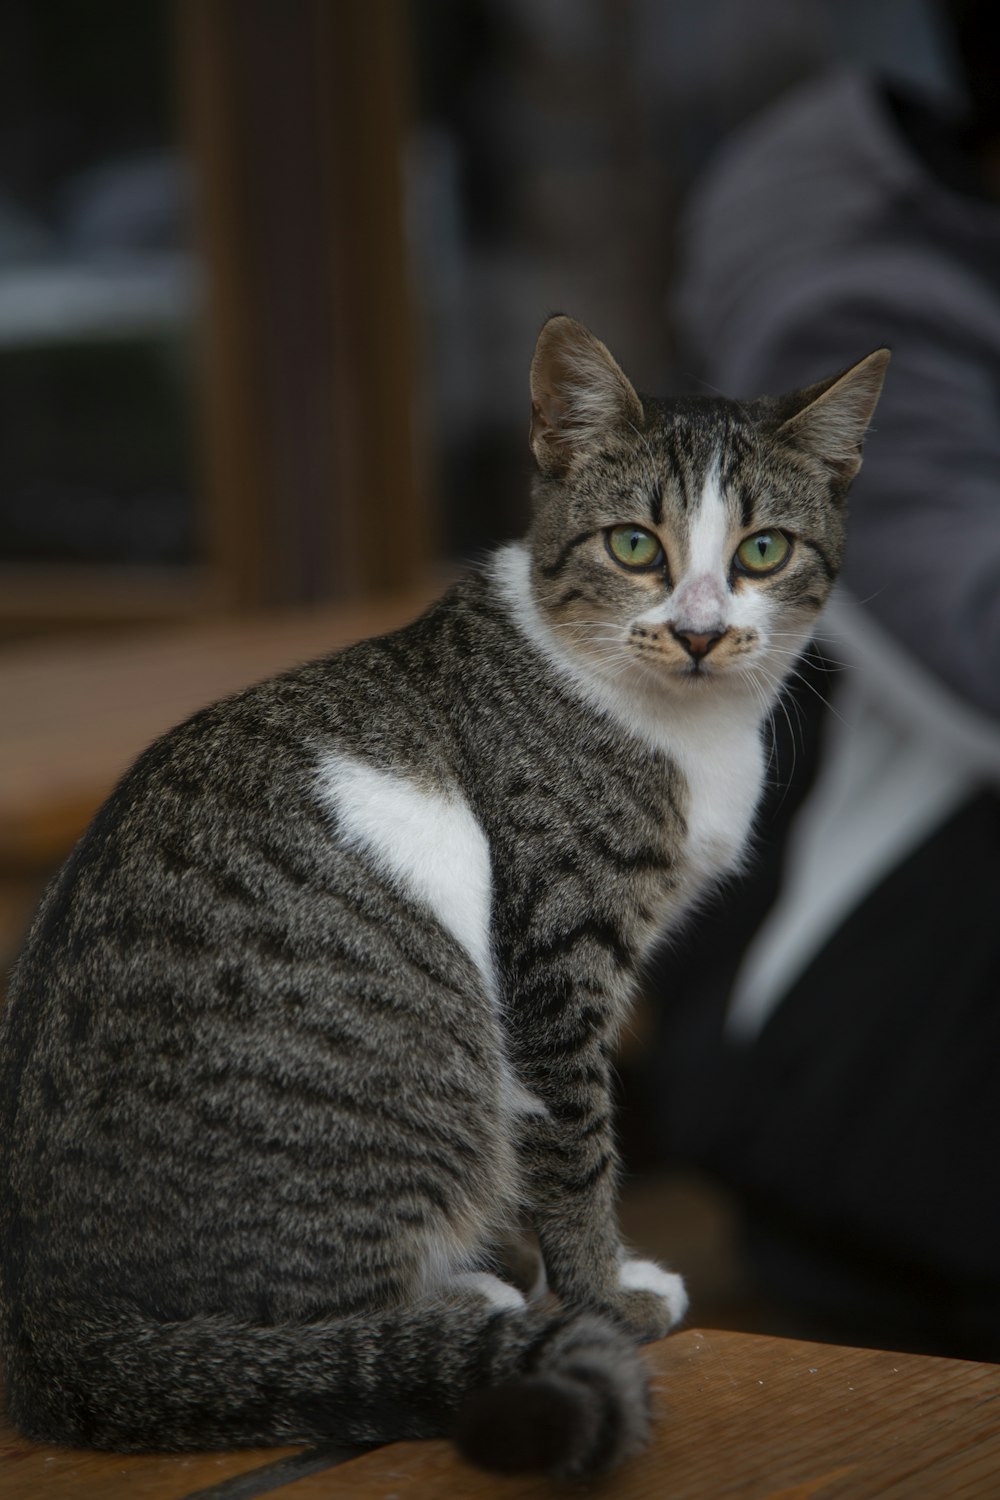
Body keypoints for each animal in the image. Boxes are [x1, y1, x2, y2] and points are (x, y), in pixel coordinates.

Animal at [1, 316, 893, 1476]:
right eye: (634, 547)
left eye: (762, 552)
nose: (699, 631)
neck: (681, 726)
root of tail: (46, 1321)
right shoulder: (554, 957)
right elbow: (576, 1156)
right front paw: (603, 1301)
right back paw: (456, 1308)